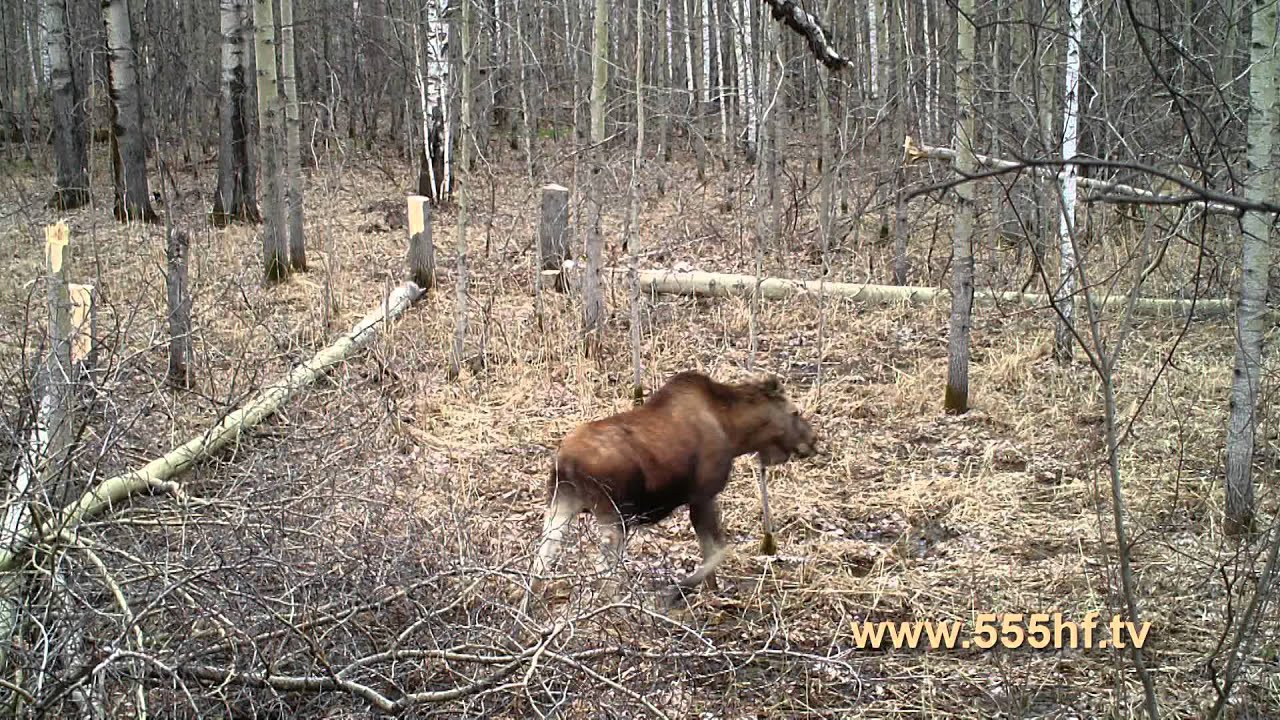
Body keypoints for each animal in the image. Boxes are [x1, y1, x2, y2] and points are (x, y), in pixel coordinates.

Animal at [522, 366, 814, 607]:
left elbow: (710, 550)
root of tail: (565, 462)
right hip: (613, 514)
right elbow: (719, 550)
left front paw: (712, 592)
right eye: (795, 412)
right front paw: (677, 591)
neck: (734, 432)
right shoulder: (703, 495)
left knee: (541, 560)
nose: (814, 441)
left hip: (561, 502)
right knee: (603, 573)